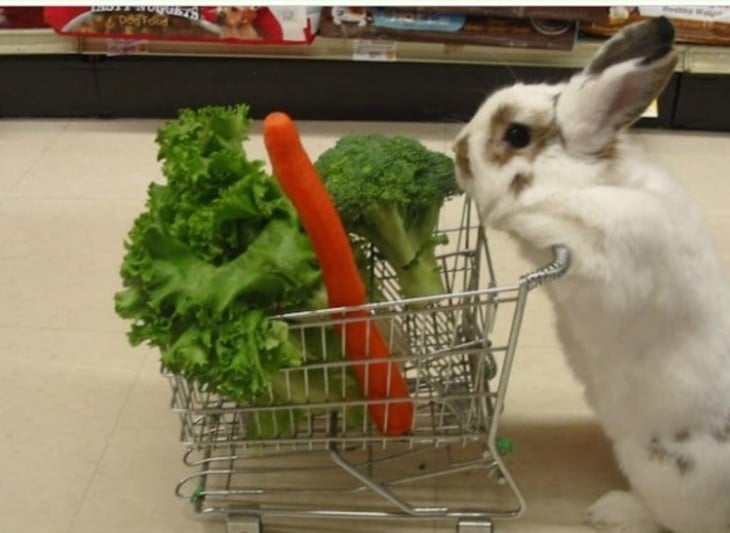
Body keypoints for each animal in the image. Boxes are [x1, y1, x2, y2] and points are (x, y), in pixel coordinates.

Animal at [452, 15, 728, 532]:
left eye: (516, 135)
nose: (456, 149)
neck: (584, 179)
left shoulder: (610, 256)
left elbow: (551, 220)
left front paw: (514, 214)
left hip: (663, 476)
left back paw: (610, 511)